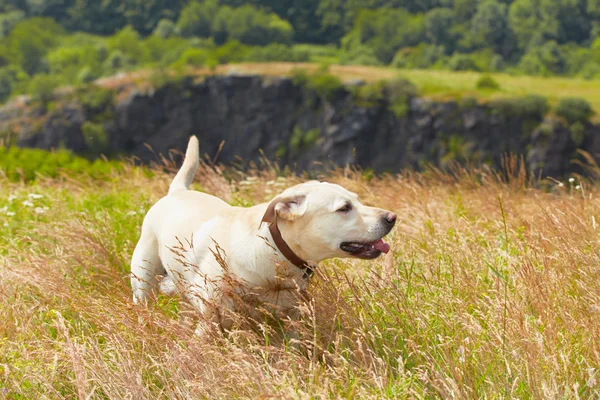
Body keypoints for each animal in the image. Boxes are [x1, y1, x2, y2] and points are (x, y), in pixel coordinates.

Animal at [130, 136, 394, 330]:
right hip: (143, 278)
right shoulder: (212, 316)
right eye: (344, 208)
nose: (392, 218)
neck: (275, 252)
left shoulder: (291, 315)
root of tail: (177, 191)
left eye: (358, 200)